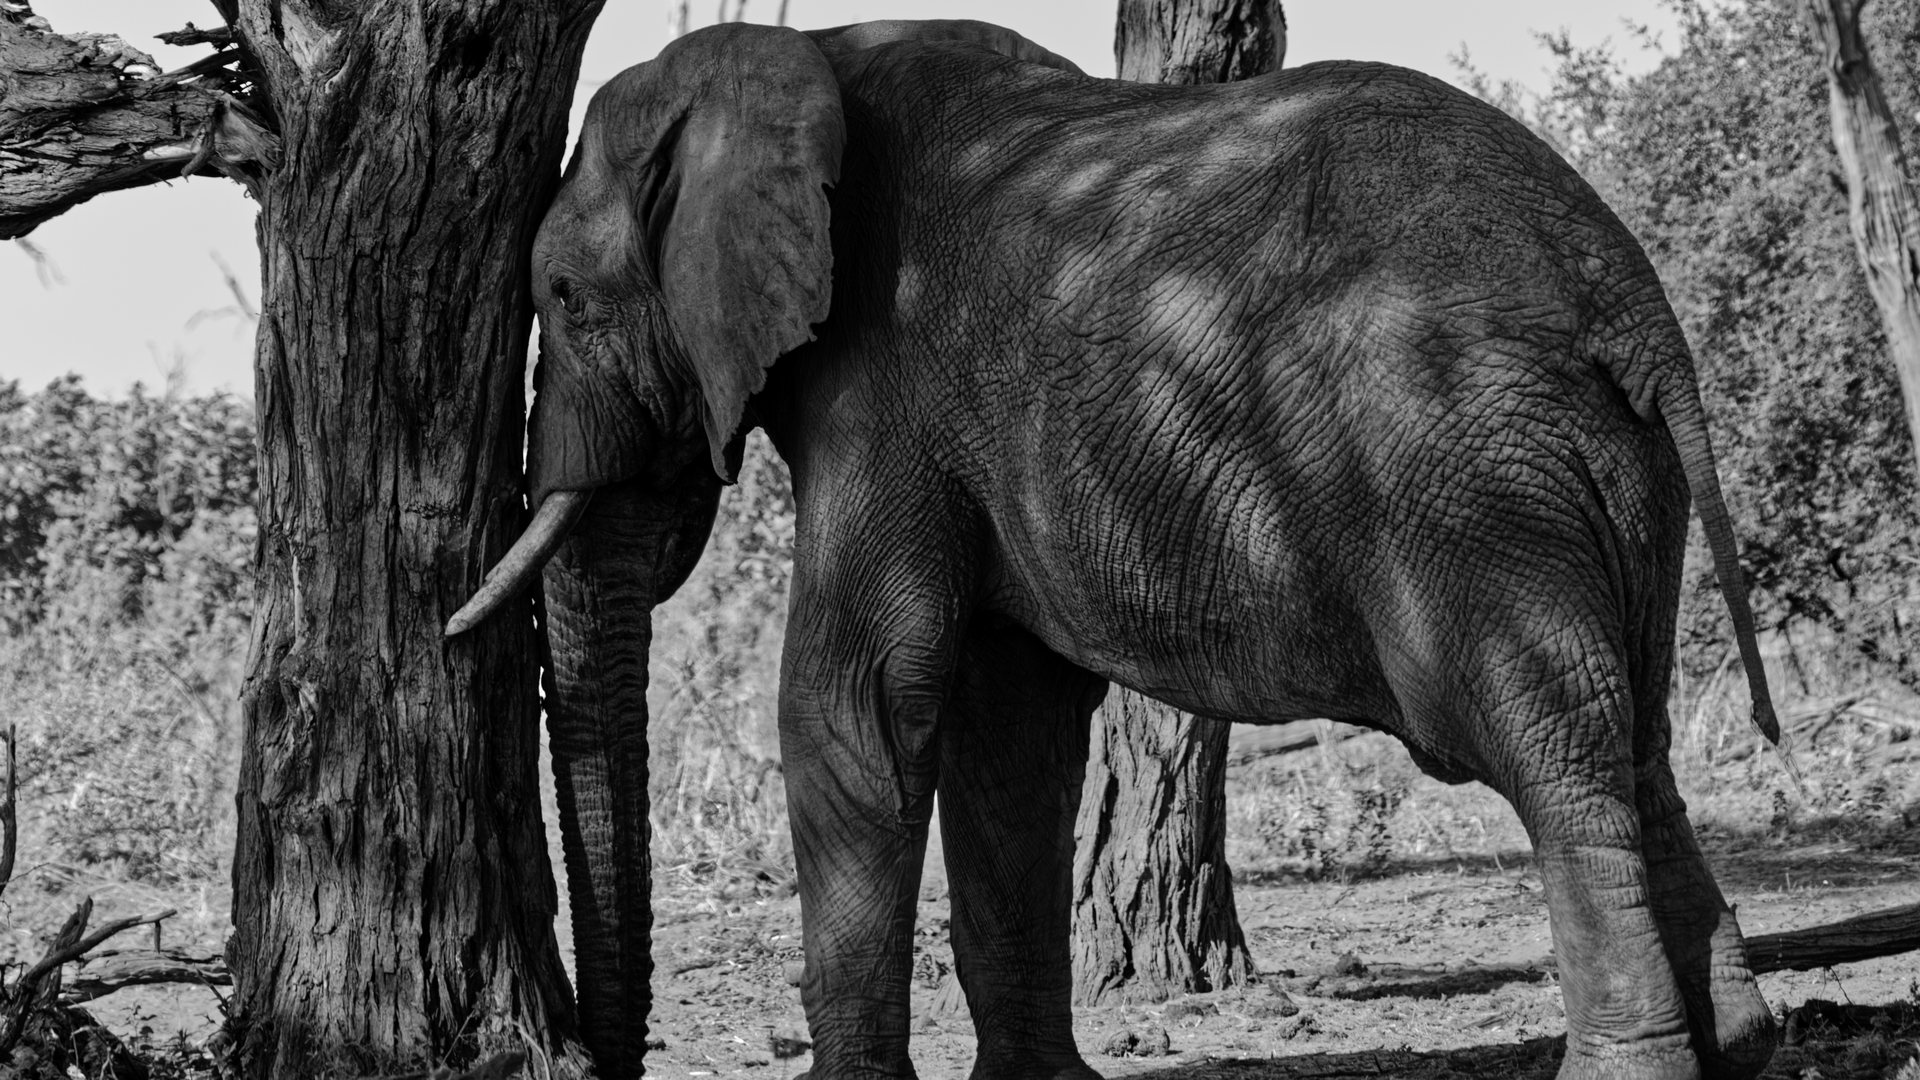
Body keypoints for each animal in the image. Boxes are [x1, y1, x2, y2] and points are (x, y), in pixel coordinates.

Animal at [446, 18, 1785, 1080]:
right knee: (1635, 731)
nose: (607, 1061)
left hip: (1469, 470)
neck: (789, 56)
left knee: (1546, 746)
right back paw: (1741, 1042)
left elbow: (859, 700)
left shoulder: (884, 381)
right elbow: (1009, 728)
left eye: (564, 299)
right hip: (1604, 473)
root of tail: (1628, 295)